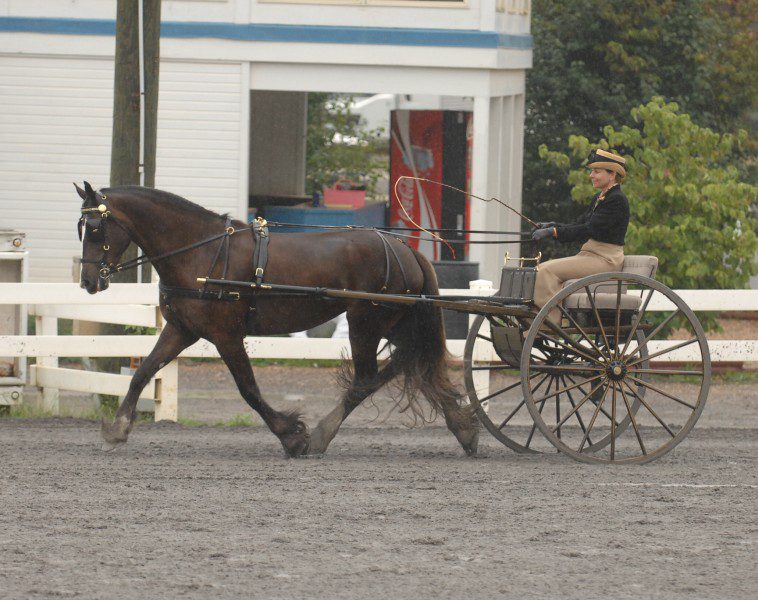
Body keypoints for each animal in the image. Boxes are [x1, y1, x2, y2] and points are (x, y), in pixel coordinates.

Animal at [77, 180, 480, 458]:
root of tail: (405, 249)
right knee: (413, 362)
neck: (202, 251)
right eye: (80, 226)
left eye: (95, 228)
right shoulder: (182, 330)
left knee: (369, 378)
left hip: (366, 322)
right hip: (393, 323)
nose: (88, 281)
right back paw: (464, 428)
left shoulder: (226, 334)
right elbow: (143, 373)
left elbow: (249, 390)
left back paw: (320, 434)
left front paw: (292, 435)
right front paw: (117, 429)